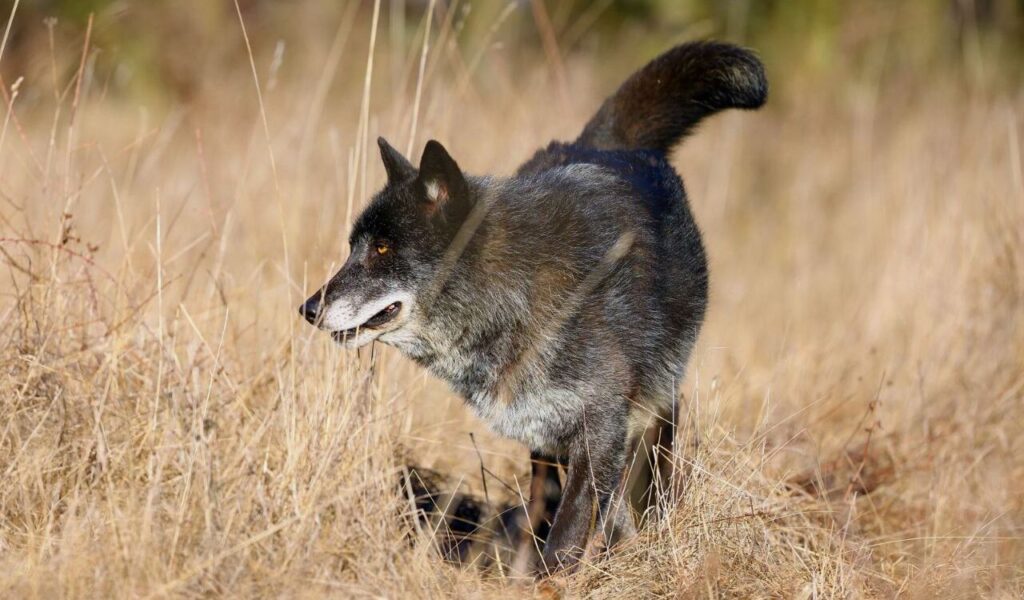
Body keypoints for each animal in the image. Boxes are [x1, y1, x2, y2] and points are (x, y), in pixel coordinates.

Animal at [300, 41, 767, 574]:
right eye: (352, 247)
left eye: (382, 249)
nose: (308, 308)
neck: (515, 296)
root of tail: (604, 145)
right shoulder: (547, 429)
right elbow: (562, 509)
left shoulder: (601, 428)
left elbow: (570, 531)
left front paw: (561, 576)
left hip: (658, 403)